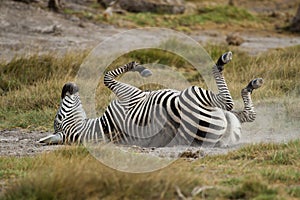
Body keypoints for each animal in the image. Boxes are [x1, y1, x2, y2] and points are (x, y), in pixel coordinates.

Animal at [39, 51, 262, 147]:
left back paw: (250, 86)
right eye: (59, 118)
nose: (66, 86)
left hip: (226, 117)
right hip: (193, 95)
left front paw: (138, 66)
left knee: (247, 114)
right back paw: (224, 62)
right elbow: (107, 78)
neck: (102, 127)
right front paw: (141, 69)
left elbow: (107, 77)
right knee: (228, 102)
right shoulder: (130, 96)